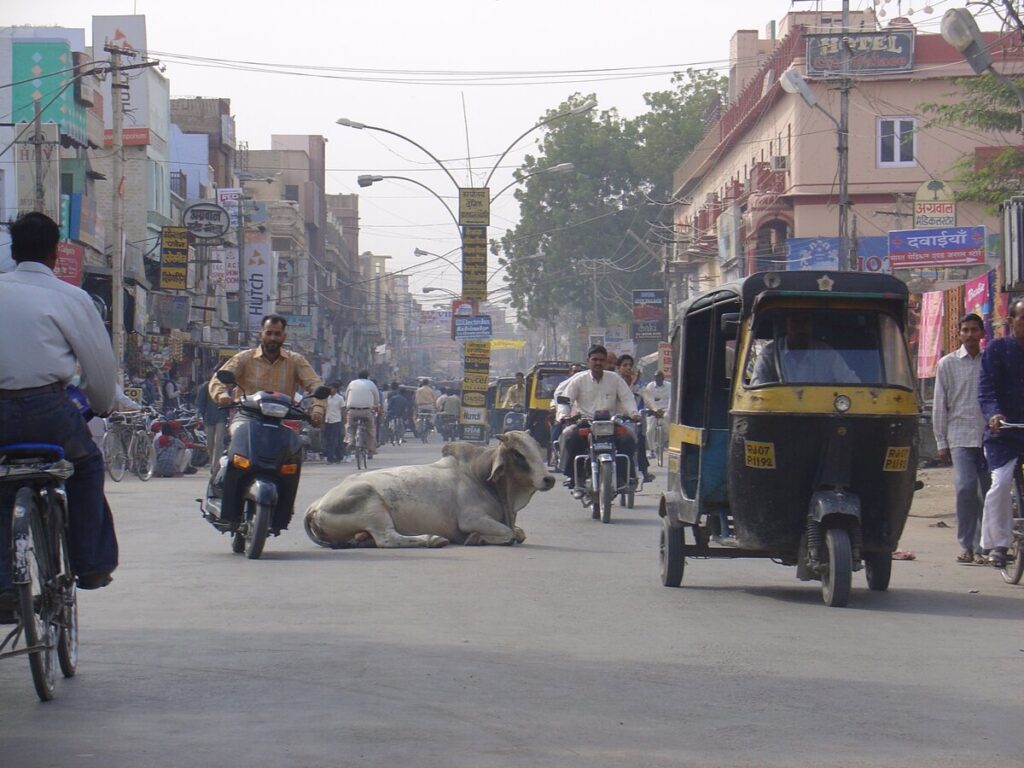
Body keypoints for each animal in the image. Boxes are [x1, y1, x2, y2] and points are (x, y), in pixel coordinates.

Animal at [301, 434, 557, 548]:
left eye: (537, 448)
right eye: (518, 454)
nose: (549, 479)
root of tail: (315, 505)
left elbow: (518, 533)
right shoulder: (471, 518)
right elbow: (509, 533)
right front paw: (475, 538)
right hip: (371, 504)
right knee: (387, 539)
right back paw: (432, 539)